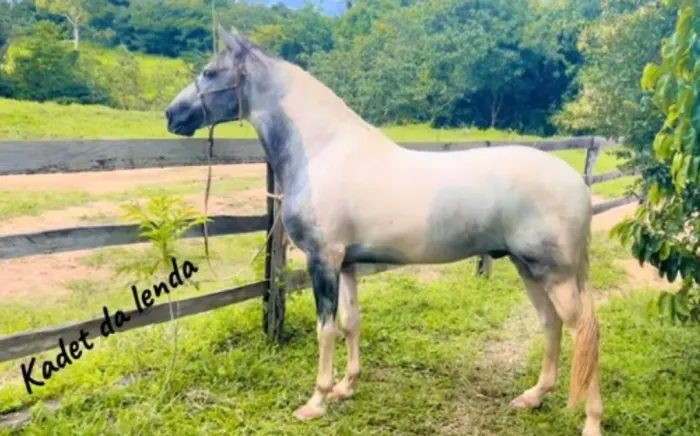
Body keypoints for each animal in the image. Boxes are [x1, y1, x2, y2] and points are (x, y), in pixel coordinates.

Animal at [165, 26, 603, 436]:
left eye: (209, 72)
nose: (172, 115)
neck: (324, 152)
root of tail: (576, 184)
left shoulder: (322, 261)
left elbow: (325, 330)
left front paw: (316, 401)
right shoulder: (346, 264)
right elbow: (350, 322)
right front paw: (345, 387)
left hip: (554, 274)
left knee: (585, 331)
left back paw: (592, 421)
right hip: (526, 267)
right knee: (551, 324)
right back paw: (534, 397)